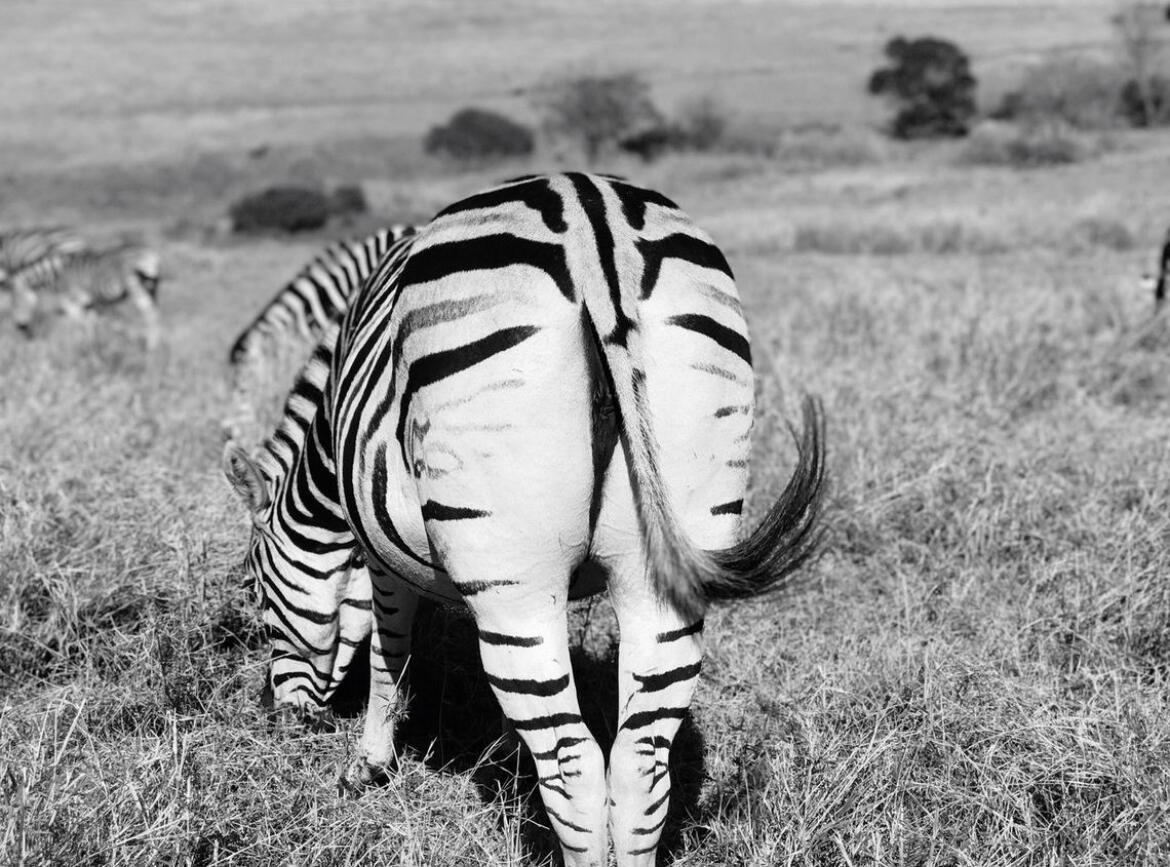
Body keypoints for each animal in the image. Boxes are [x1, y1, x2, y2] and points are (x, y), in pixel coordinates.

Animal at [10, 242, 162, 347]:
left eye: (15, 301)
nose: (20, 326)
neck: (58, 275)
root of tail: (149, 253)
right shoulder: (89, 303)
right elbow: (90, 324)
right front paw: (91, 346)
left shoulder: (72, 301)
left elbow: (79, 323)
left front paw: (80, 345)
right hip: (151, 284)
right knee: (154, 311)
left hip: (135, 285)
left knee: (147, 311)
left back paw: (151, 345)